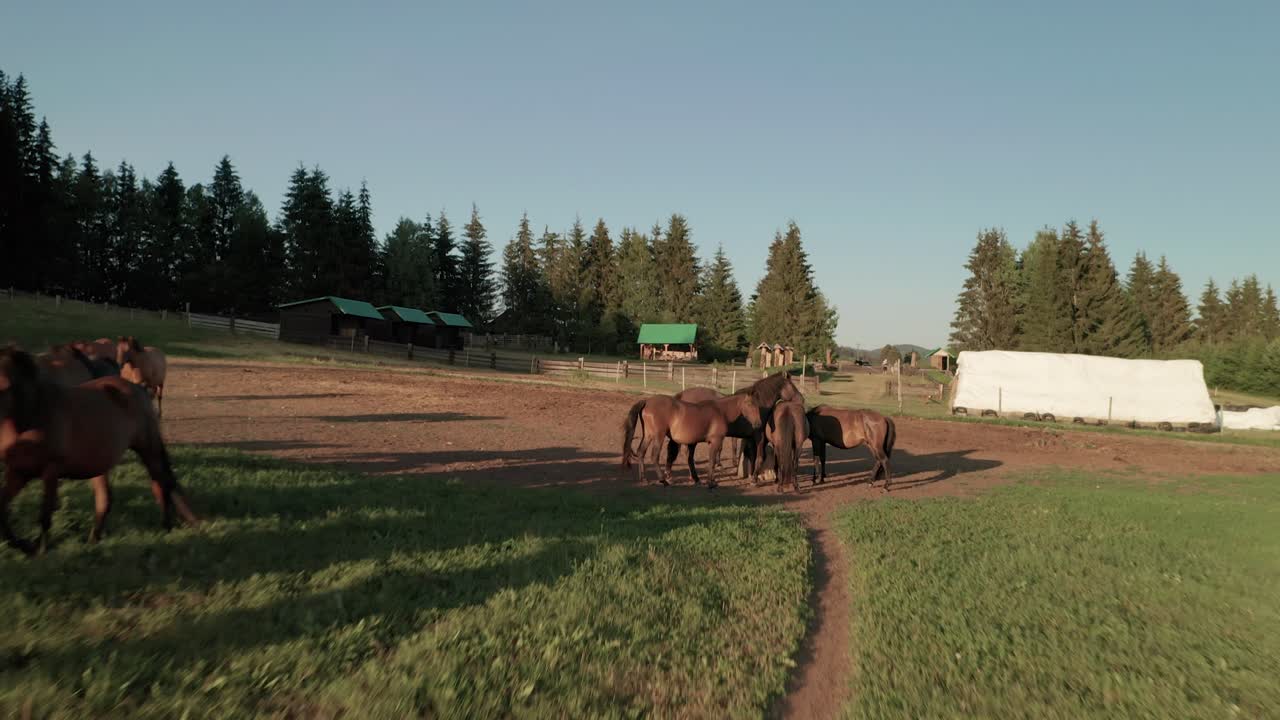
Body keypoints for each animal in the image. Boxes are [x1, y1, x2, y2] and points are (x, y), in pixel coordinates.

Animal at [0, 347, 199, 555]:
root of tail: (138, 389)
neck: (33, 415)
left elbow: (45, 514)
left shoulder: (50, 472)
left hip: (148, 449)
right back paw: (94, 540)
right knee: (106, 499)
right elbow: (1, 510)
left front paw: (39, 549)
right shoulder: (18, 473)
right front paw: (22, 544)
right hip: (99, 464)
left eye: (4, 386)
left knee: (161, 483)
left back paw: (166, 527)